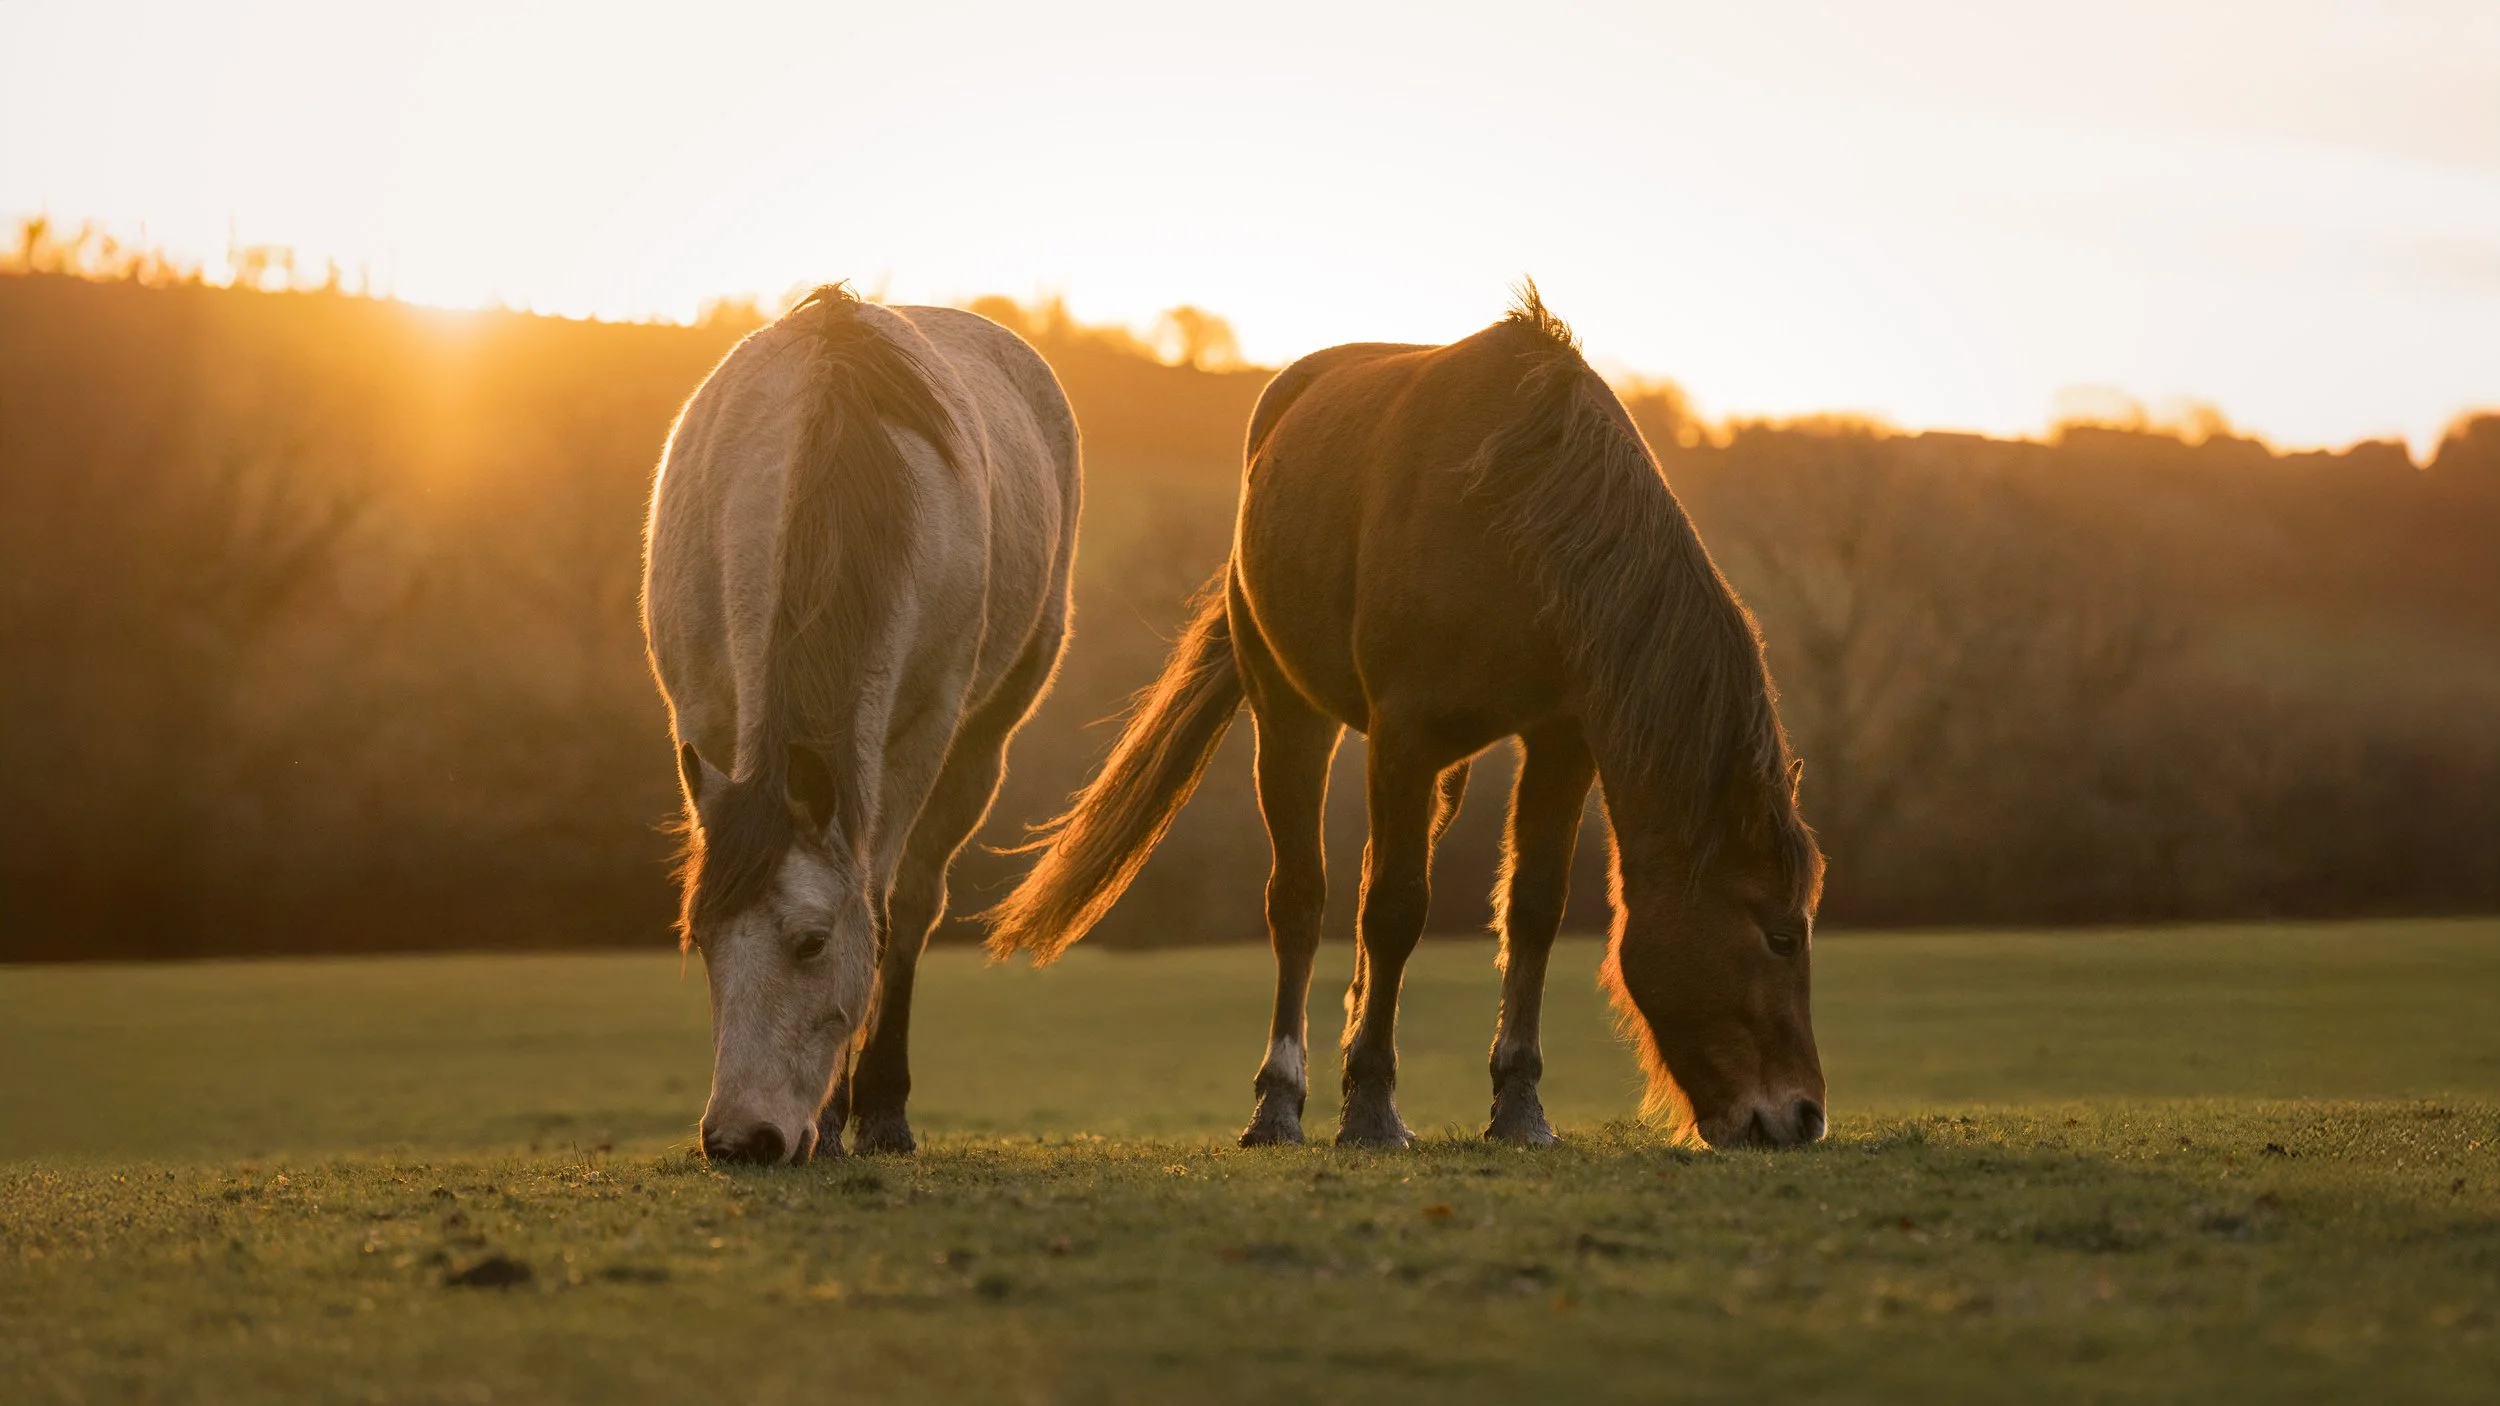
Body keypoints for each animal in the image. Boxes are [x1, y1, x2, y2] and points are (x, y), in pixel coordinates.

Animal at [644, 284, 1078, 1165]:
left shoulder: (916, 737)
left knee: (910, 902)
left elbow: (877, 907)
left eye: (812, 941)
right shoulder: (704, 717)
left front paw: (843, 1116)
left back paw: (879, 1108)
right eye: (701, 938)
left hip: (981, 743)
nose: (742, 1139)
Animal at [986, 287, 1823, 1149]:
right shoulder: (1404, 737)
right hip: (1291, 713)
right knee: (1300, 900)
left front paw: (1519, 1108)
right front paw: (1370, 1109)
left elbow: (1532, 908)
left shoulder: (1560, 741)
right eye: (1781, 934)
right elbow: (1392, 909)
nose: (1801, 1115)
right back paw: (1278, 1104)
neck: (1519, 517)